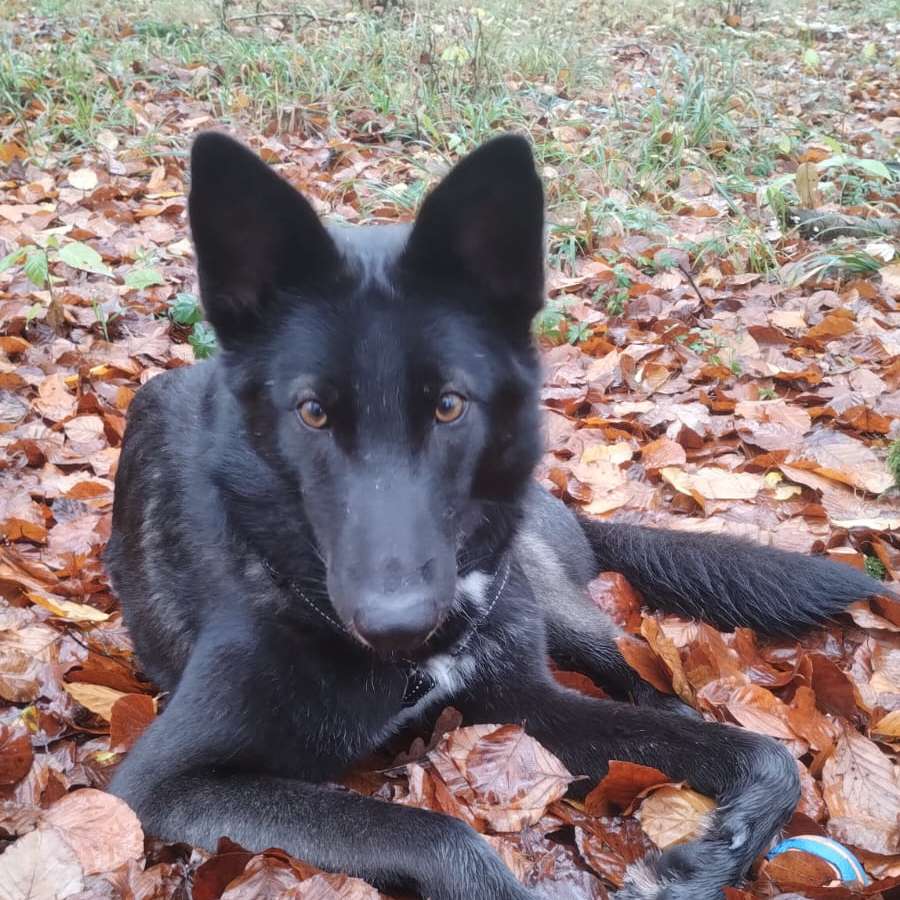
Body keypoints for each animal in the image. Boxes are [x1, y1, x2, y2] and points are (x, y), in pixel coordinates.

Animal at [107, 134, 884, 900]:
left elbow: (767, 753)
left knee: (640, 671)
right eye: (313, 413)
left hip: (553, 600)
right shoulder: (164, 785)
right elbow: (441, 835)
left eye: (450, 405)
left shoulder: (527, 700)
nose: (398, 622)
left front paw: (709, 858)